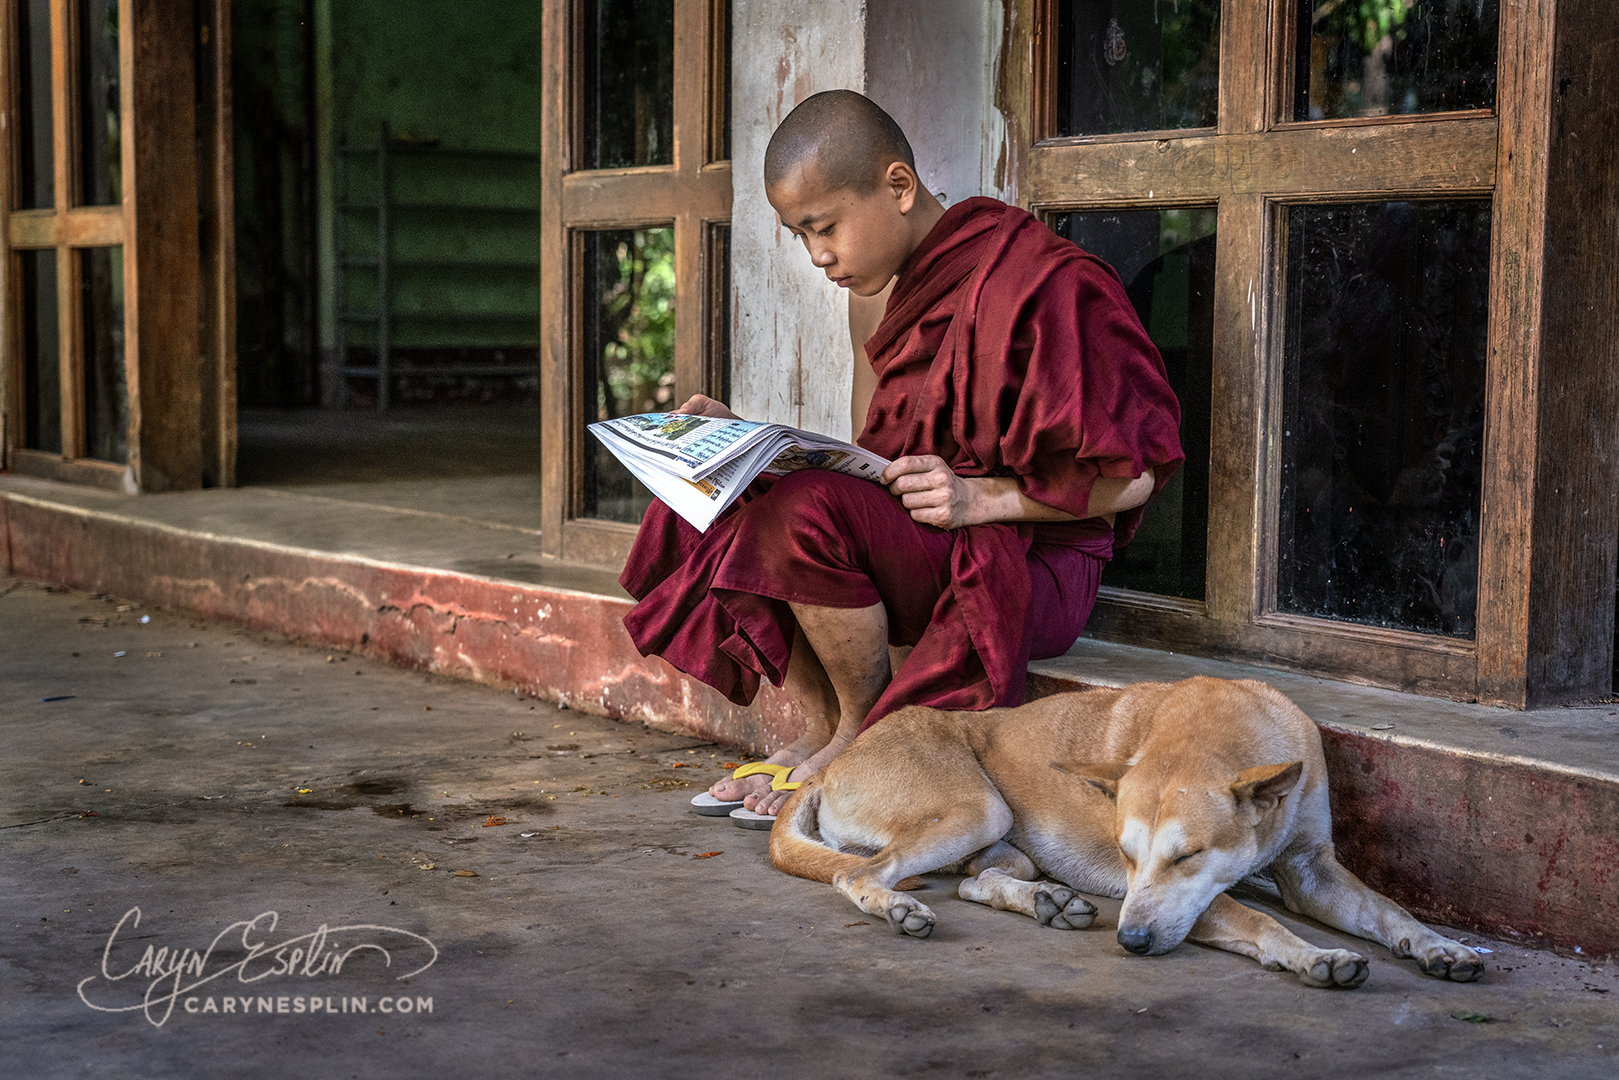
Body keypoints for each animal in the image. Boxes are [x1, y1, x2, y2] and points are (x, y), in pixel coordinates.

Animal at [767, 680, 1483, 990]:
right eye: (1126, 855)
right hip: (976, 810)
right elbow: (1255, 919)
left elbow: (1388, 910)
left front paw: (1439, 945)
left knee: (978, 881)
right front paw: (1314, 958)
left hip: (999, 840)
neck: (1221, 729)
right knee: (857, 872)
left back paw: (1047, 901)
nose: (1131, 942)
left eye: (1188, 854)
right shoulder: (1188, 901)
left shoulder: (1311, 869)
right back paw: (898, 906)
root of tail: (833, 762)